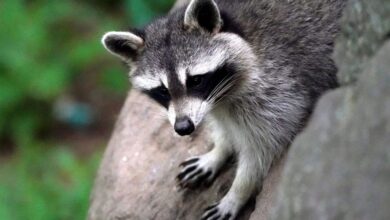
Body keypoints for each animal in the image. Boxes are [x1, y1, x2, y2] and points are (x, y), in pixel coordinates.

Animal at [100, 0, 344, 219]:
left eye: (195, 80)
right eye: (163, 90)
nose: (183, 128)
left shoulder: (279, 93)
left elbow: (261, 152)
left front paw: (237, 194)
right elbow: (223, 128)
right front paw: (218, 151)